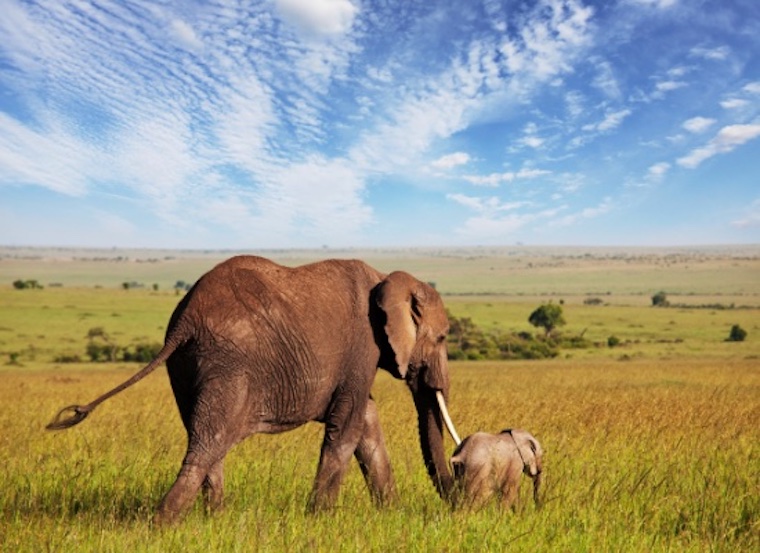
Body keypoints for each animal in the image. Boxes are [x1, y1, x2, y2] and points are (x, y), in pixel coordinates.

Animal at [47, 255, 461, 523]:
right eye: (443, 338)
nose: (459, 499)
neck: (387, 277)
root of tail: (184, 320)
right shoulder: (362, 345)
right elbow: (347, 428)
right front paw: (320, 520)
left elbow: (367, 425)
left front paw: (390, 513)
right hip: (230, 362)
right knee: (208, 443)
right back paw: (161, 526)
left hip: (185, 367)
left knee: (206, 440)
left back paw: (214, 521)